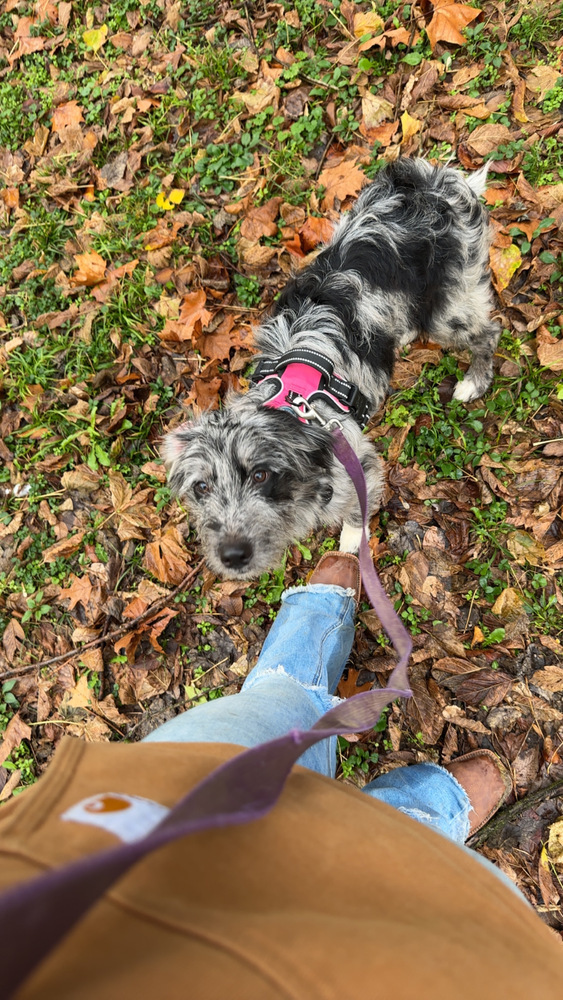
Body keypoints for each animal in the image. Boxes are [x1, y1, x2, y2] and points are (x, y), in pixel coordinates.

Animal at [164, 156, 502, 580]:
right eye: (201, 488)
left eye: (260, 474)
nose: (233, 555)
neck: (294, 401)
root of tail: (436, 183)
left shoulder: (361, 466)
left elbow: (357, 513)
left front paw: (351, 545)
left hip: (449, 310)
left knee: (489, 333)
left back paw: (474, 382)